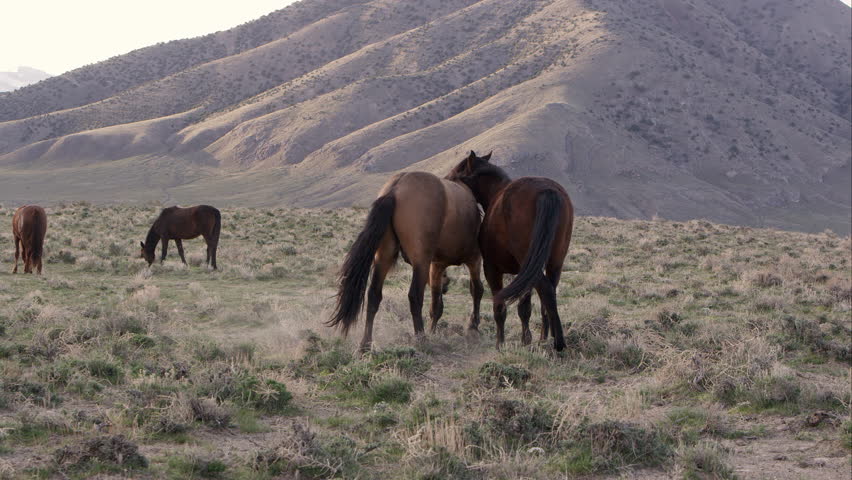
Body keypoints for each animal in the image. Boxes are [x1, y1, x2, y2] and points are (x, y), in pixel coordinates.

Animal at [328, 170, 484, 352]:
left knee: (373, 294)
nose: (447, 284)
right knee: (415, 296)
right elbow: (476, 290)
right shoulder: (473, 258)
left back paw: (365, 344)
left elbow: (437, 302)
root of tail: (395, 188)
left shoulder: (436, 265)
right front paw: (473, 327)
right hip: (421, 261)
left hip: (384, 257)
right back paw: (421, 339)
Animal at [448, 151, 574, 351]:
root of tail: (547, 191)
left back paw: (558, 342)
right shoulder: (526, 271)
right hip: (554, 262)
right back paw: (547, 338)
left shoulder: (492, 269)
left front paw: (500, 344)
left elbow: (499, 307)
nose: (446, 180)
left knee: (546, 290)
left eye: (457, 172)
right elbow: (525, 308)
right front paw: (526, 340)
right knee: (549, 294)